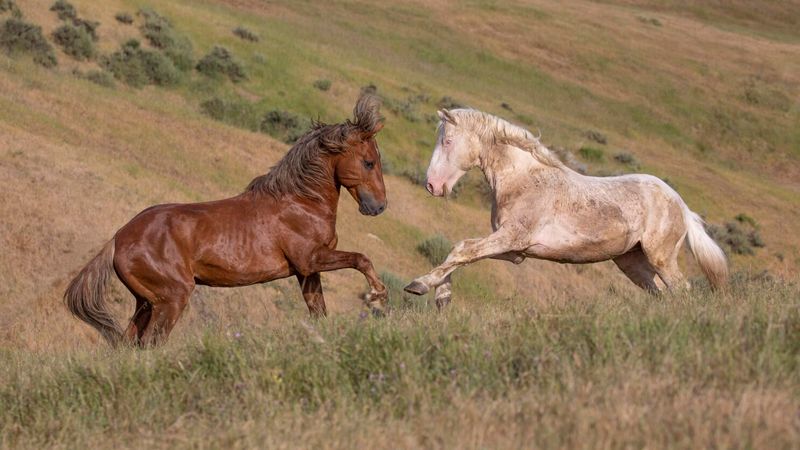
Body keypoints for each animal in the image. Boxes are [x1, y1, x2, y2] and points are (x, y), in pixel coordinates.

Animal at [65, 94, 388, 348]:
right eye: (369, 162)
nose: (379, 206)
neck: (300, 201)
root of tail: (118, 239)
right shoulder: (311, 259)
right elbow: (361, 258)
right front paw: (378, 296)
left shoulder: (306, 271)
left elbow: (318, 311)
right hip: (171, 299)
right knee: (150, 343)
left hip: (146, 302)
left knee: (128, 342)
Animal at [404, 108, 728, 306]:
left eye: (447, 141)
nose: (432, 185)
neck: (523, 180)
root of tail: (682, 205)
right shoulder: (515, 251)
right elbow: (462, 251)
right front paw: (442, 296)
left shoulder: (511, 237)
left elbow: (464, 250)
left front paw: (420, 285)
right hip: (632, 262)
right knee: (662, 294)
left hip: (661, 257)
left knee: (682, 291)